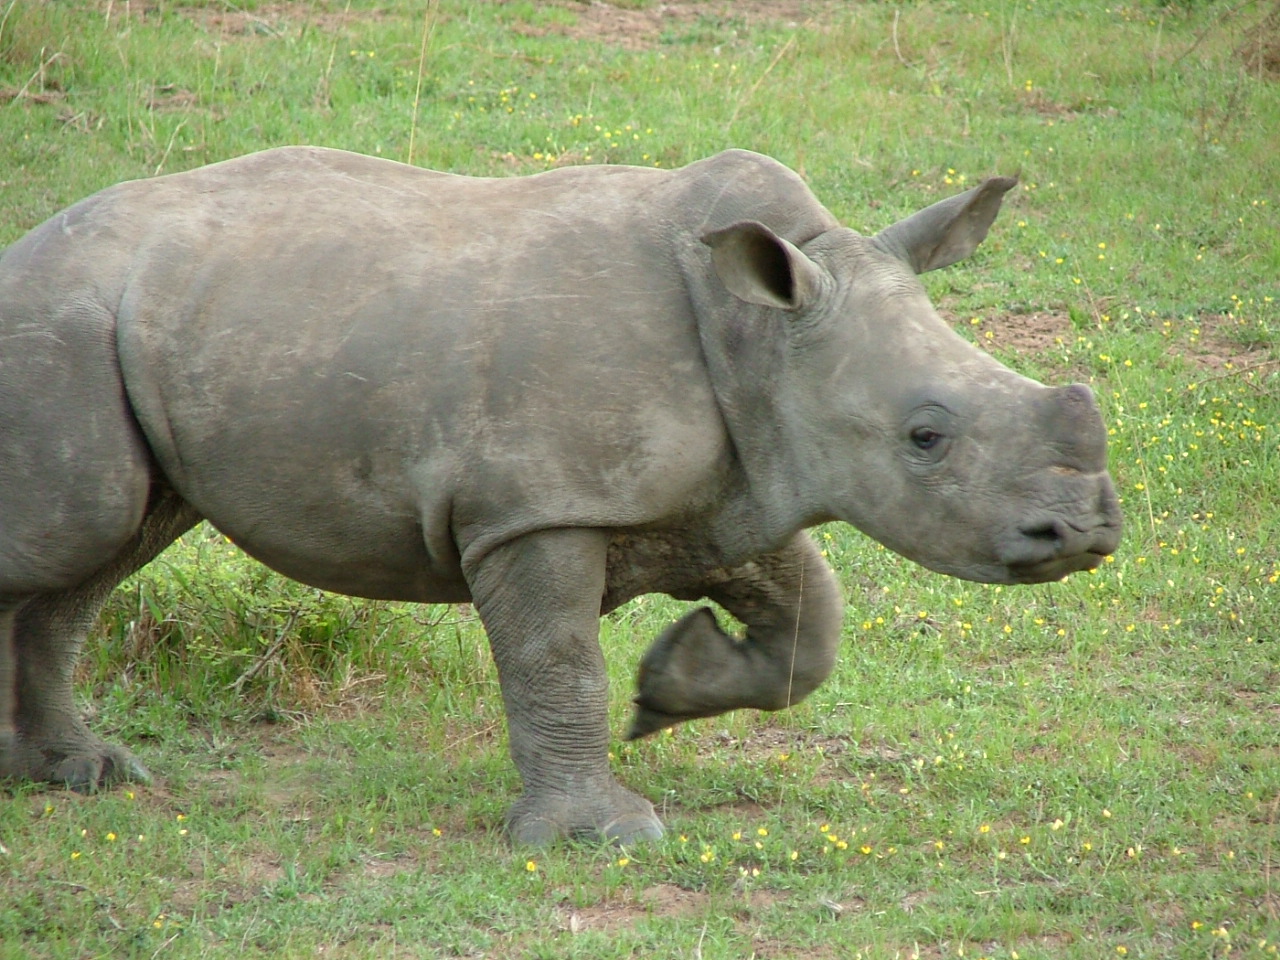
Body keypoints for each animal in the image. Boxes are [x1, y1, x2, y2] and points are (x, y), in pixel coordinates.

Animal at [0, 147, 1120, 844]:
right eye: (925, 437)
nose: (1085, 530)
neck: (759, 338)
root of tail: (26, 248)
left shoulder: (730, 484)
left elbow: (810, 627)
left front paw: (668, 689)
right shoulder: (535, 506)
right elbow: (559, 662)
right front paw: (601, 833)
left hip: (173, 327)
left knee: (98, 557)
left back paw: (82, 773)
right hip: (60, 317)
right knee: (73, 535)